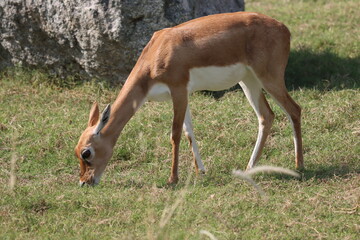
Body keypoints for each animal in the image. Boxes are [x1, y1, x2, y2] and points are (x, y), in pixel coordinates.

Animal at [75, 11, 304, 186]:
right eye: (77, 151)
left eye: (87, 153)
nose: (84, 182)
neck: (157, 53)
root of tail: (284, 28)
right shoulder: (182, 95)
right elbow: (188, 132)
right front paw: (199, 170)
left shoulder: (178, 91)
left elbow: (175, 134)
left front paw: (172, 179)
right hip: (249, 81)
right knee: (266, 116)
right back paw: (249, 168)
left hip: (269, 78)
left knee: (294, 109)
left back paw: (299, 165)